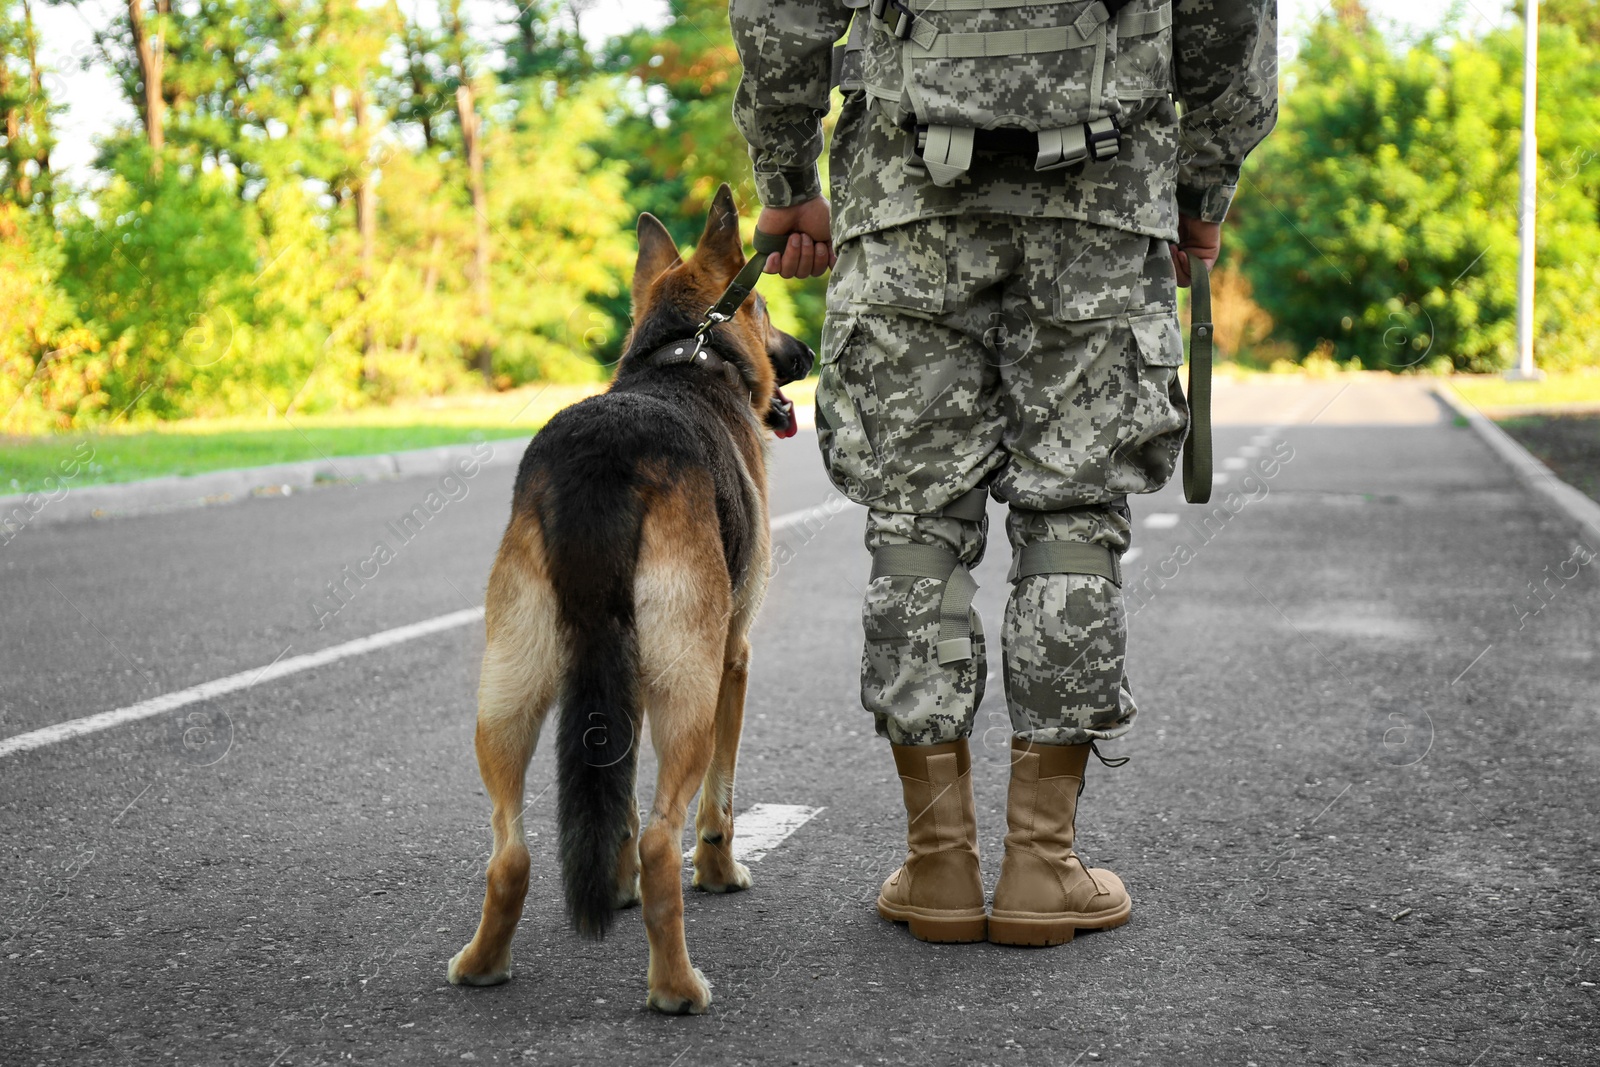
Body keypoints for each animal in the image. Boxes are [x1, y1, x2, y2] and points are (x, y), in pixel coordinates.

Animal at [444, 187, 812, 1017]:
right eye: (765, 306)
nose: (808, 356)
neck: (686, 353)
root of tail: (605, 456)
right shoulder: (732, 659)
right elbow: (717, 805)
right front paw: (721, 873)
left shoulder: (623, 673)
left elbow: (615, 791)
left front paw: (612, 887)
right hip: (689, 689)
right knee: (662, 840)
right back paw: (676, 986)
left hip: (508, 689)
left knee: (511, 851)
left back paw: (482, 962)